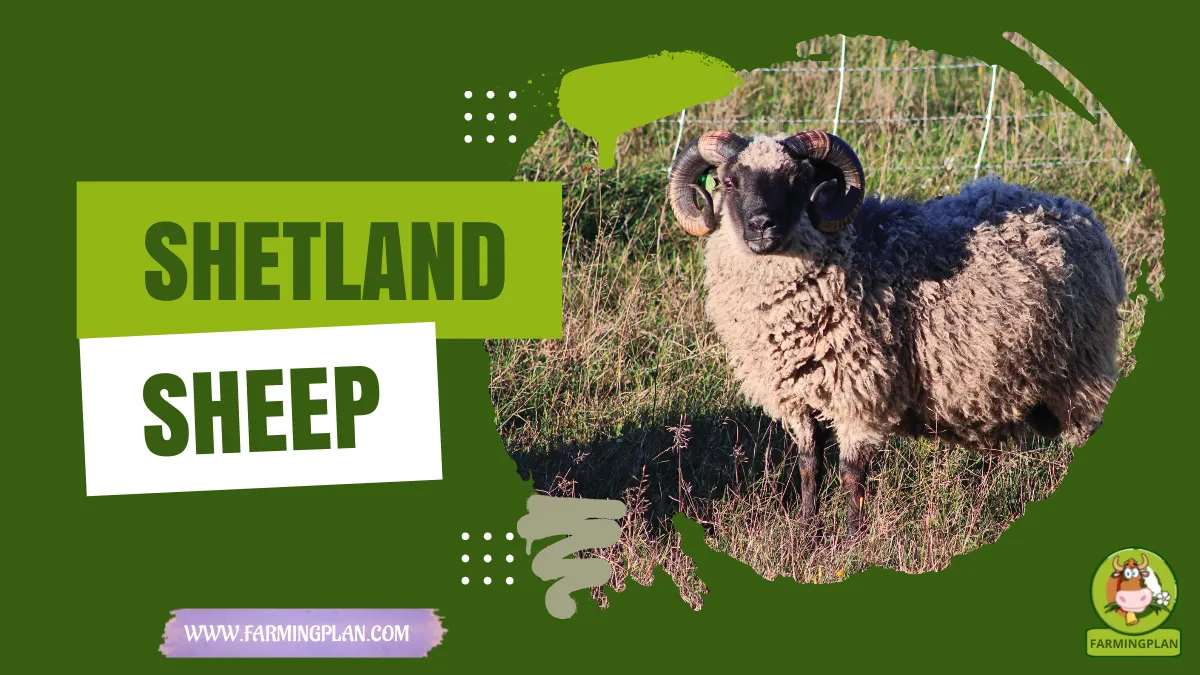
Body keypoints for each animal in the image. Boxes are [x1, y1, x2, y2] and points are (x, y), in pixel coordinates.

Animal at [667, 130, 1126, 534]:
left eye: (798, 182)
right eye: (728, 182)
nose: (761, 226)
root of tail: (1075, 212)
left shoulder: (860, 393)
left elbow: (851, 475)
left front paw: (850, 543)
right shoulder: (797, 399)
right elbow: (809, 466)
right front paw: (805, 532)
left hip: (1082, 373)